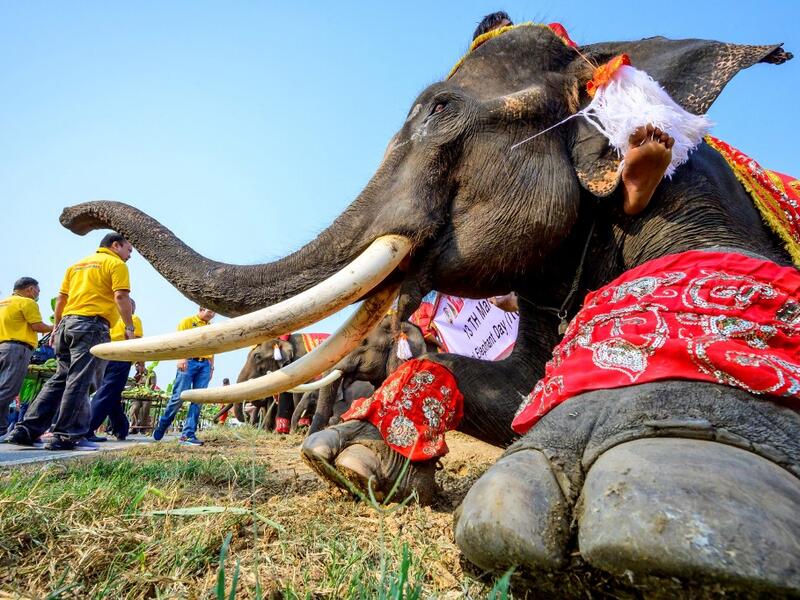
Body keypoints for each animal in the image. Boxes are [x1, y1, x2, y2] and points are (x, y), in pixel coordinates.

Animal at [58, 26, 799, 595]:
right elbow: (515, 389)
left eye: (440, 109)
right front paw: (346, 462)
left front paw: (663, 480)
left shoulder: (695, 192)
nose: (74, 218)